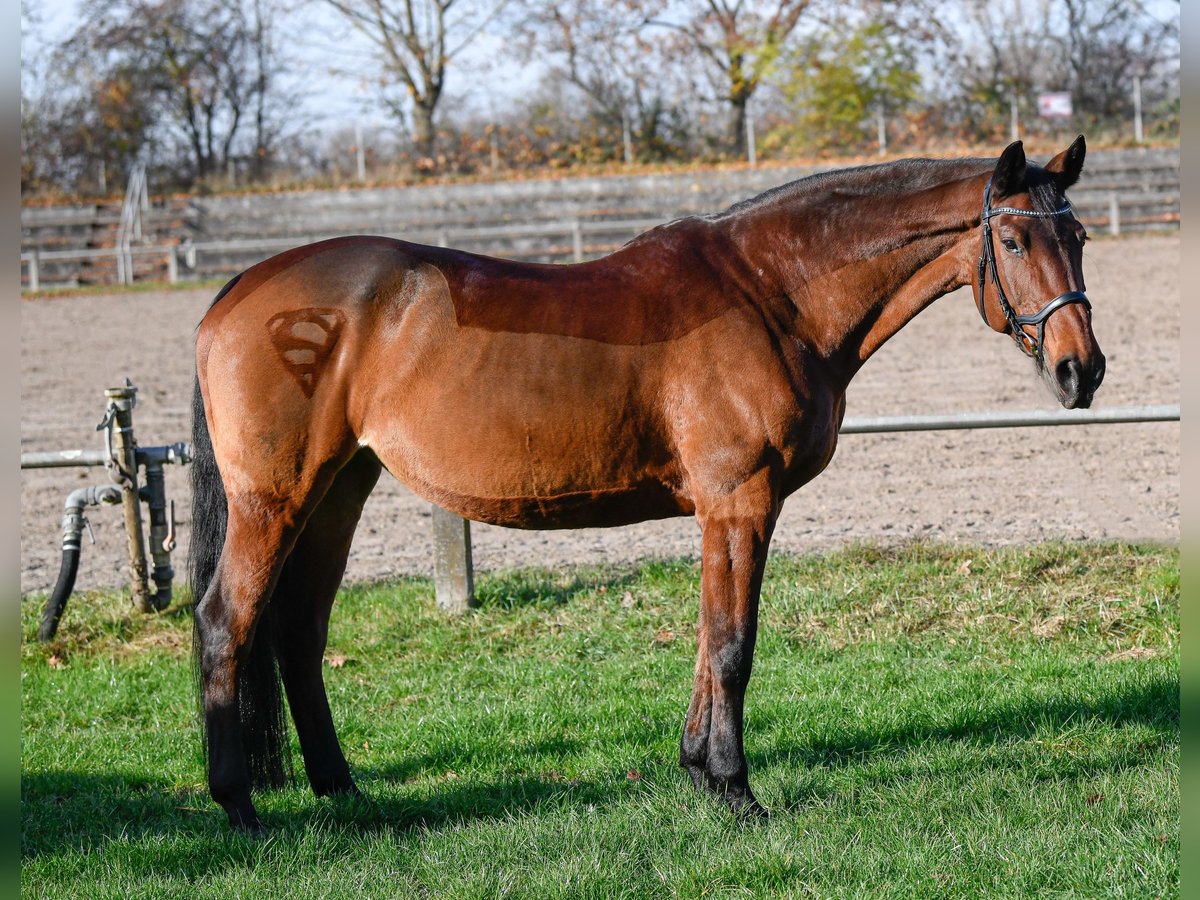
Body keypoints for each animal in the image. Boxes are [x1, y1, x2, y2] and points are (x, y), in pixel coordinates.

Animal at [189, 137, 1104, 835]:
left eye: (1081, 236)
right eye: (1014, 244)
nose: (1081, 371)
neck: (770, 294)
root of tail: (237, 291)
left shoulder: (724, 511)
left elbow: (708, 639)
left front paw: (699, 772)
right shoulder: (740, 501)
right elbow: (733, 645)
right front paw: (736, 791)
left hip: (341, 489)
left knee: (300, 633)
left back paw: (343, 790)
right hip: (276, 500)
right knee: (225, 622)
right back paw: (240, 808)